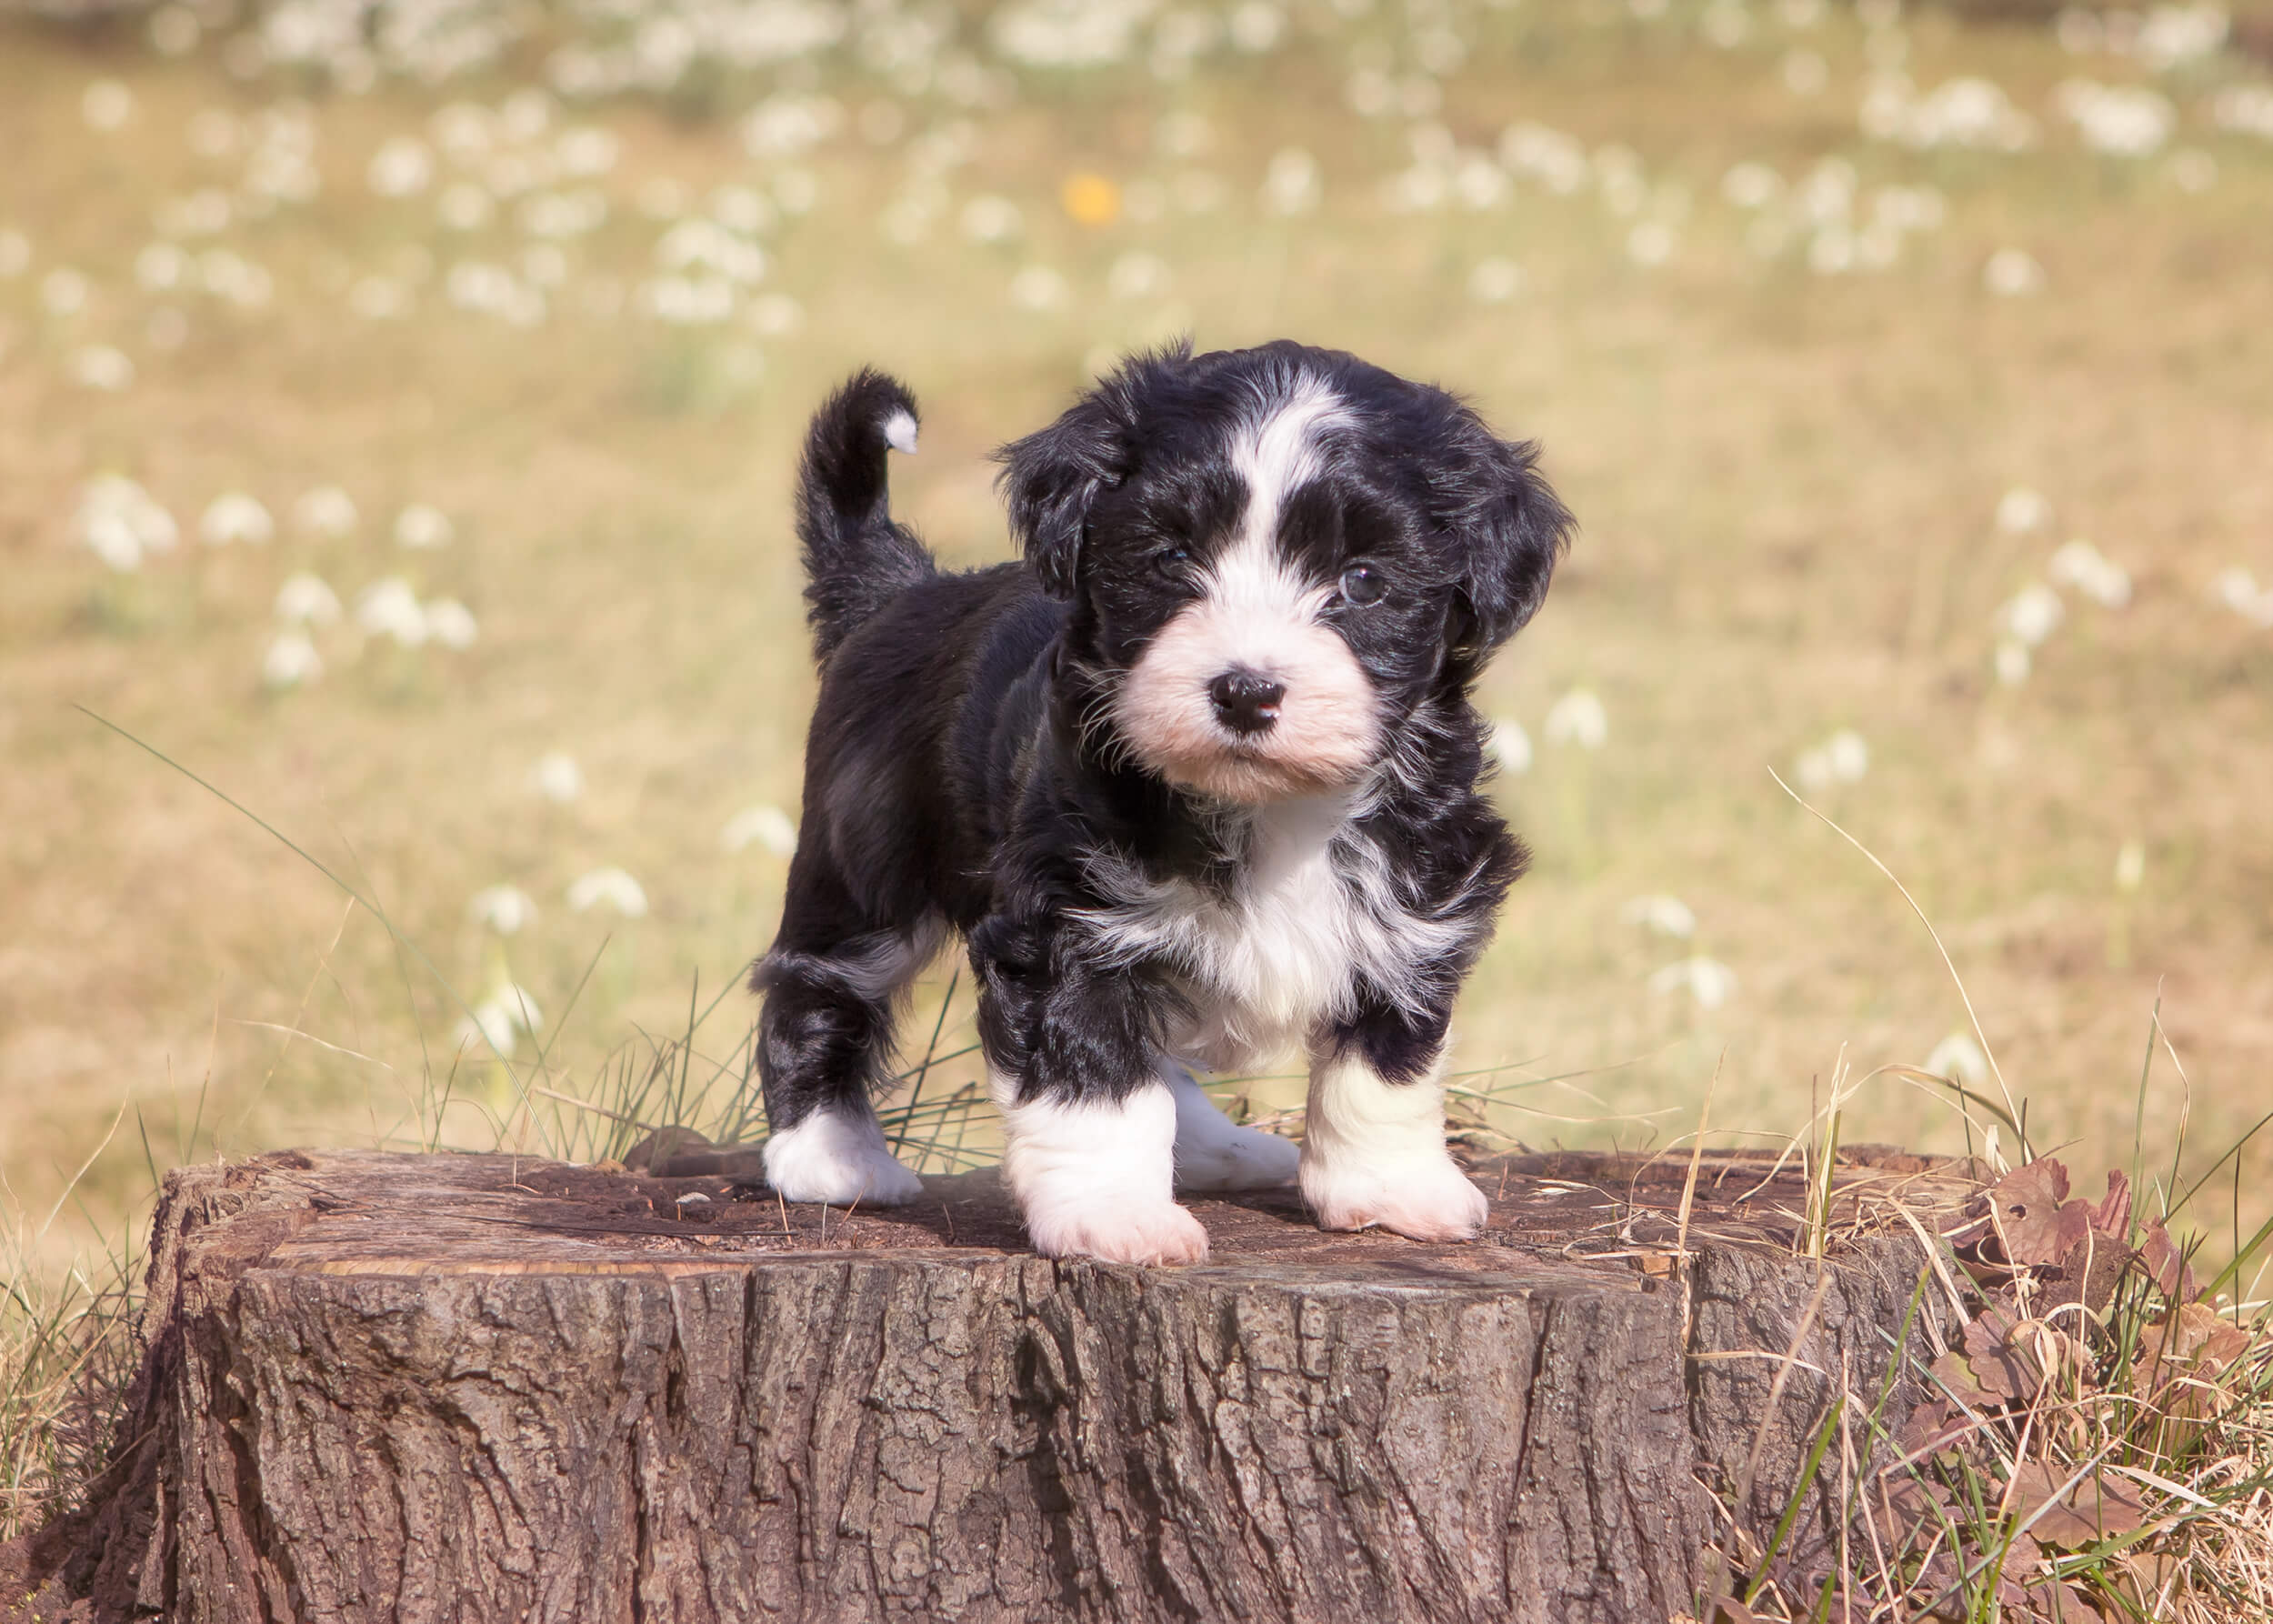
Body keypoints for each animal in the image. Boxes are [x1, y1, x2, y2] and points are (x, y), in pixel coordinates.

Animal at [755, 341, 1573, 1264]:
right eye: (1173, 559)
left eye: (1363, 580)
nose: (1246, 690)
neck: (1270, 805)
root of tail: (899, 591)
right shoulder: (1066, 922)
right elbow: (1096, 1080)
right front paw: (1114, 1216)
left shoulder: (1418, 906)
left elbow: (1387, 1059)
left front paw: (1391, 1189)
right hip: (868, 852)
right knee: (822, 981)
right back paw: (830, 1155)